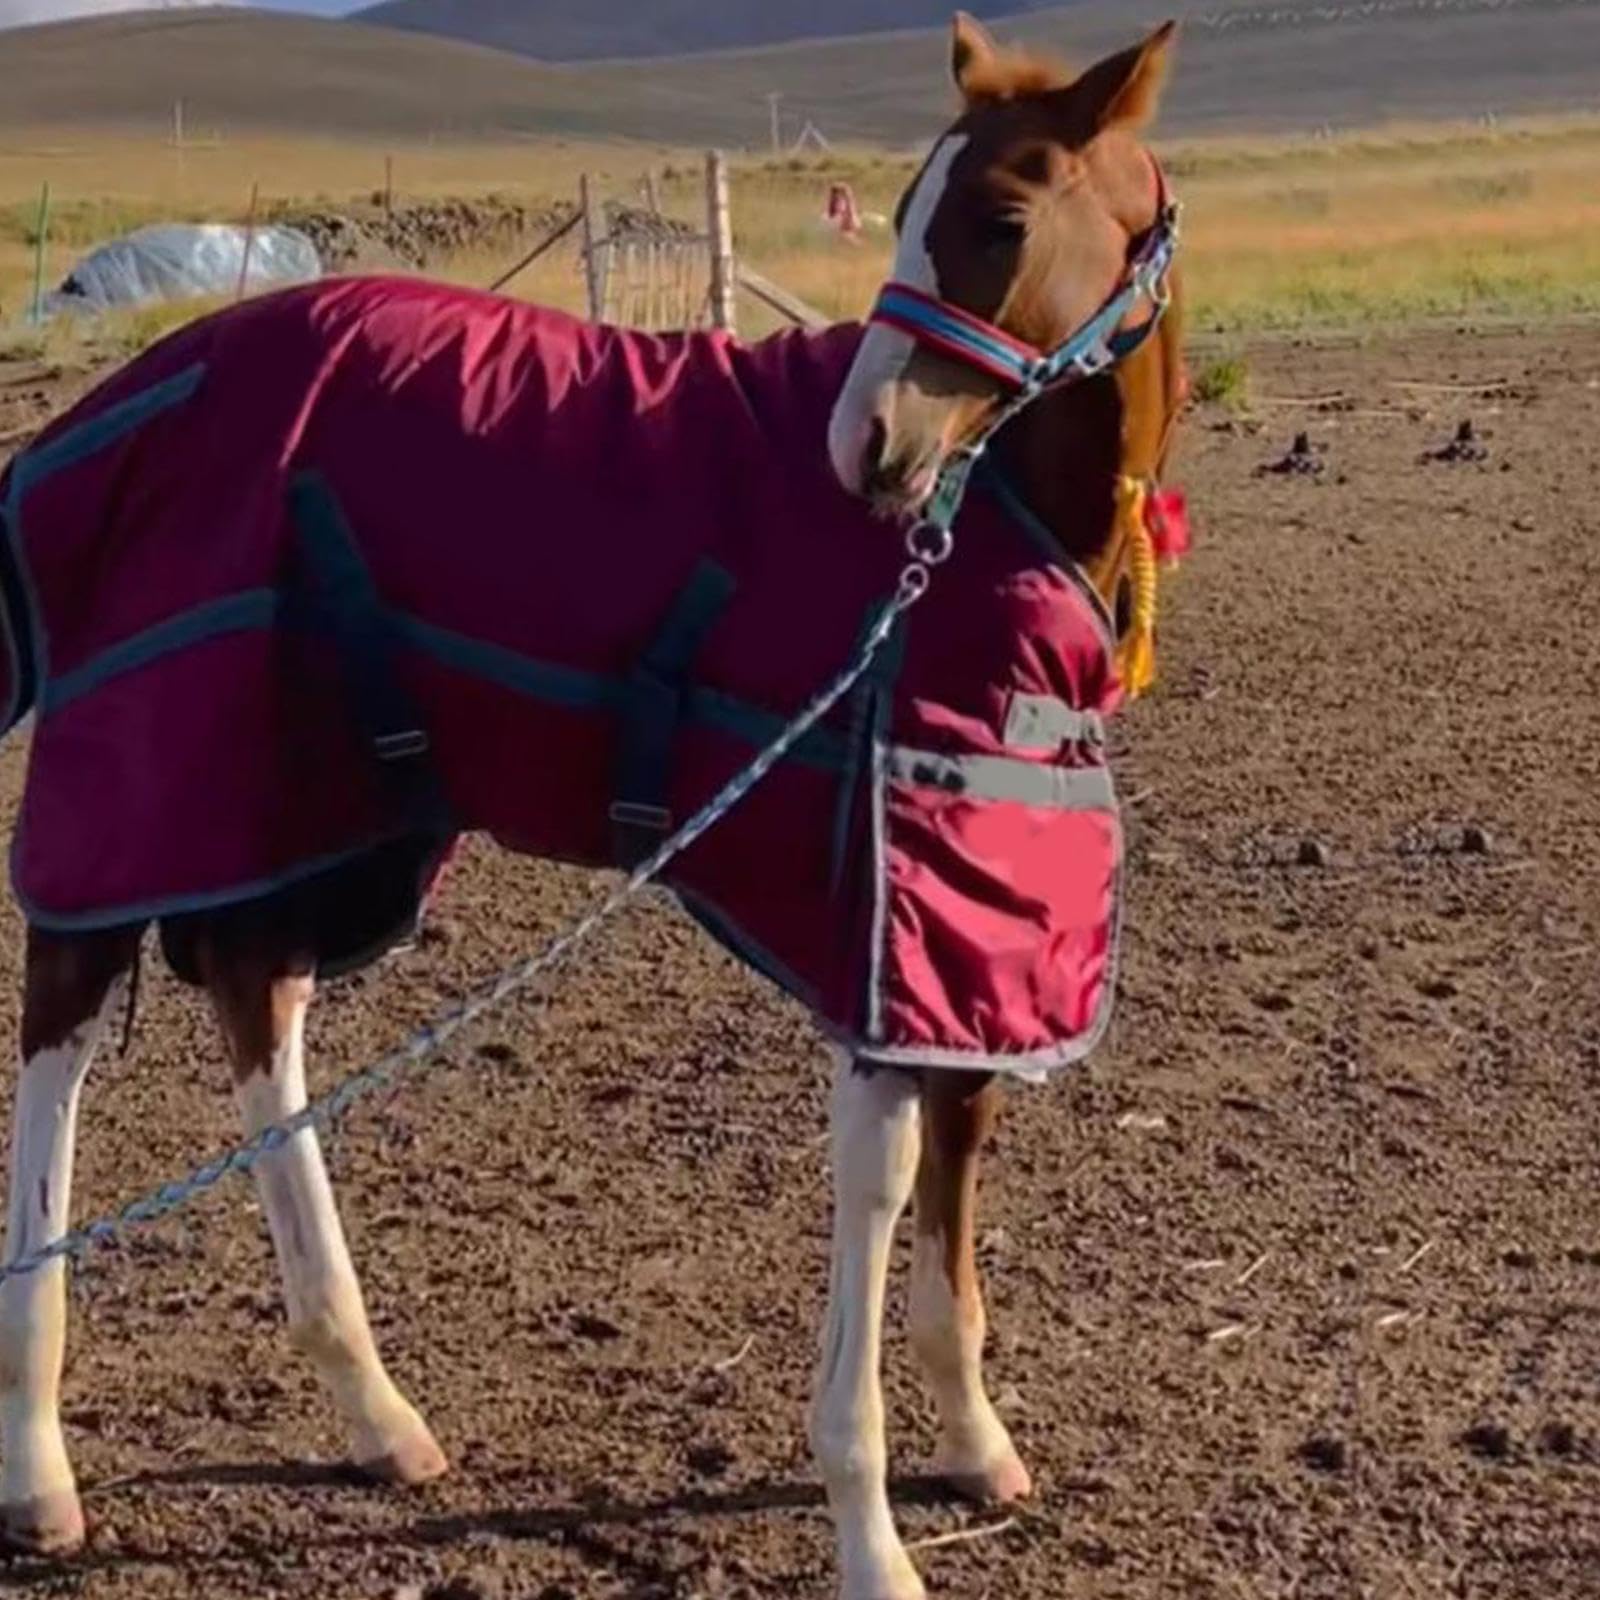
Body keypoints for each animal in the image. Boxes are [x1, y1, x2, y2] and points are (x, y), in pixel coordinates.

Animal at [0, 14, 1186, 1599]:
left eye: (998, 217)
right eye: (902, 208)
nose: (865, 446)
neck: (986, 543)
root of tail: (119, 399)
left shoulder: (970, 936)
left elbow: (960, 1165)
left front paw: (976, 1444)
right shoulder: (883, 933)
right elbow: (880, 1195)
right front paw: (872, 1534)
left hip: (306, 806)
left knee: (258, 1010)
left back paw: (374, 1407)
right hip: (143, 796)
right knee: (60, 1038)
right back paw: (38, 1466)